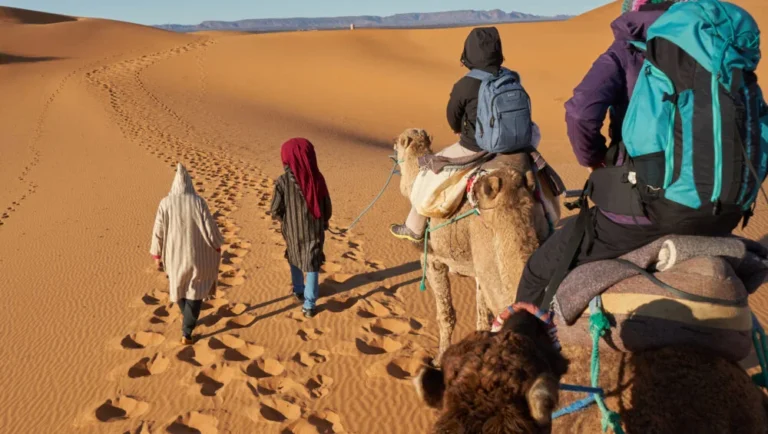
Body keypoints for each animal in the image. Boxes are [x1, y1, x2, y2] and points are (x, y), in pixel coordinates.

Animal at [394, 128, 559, 364]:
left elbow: (445, 314)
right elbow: (482, 320)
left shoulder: (433, 260)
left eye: (397, 143)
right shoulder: (479, 271)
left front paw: (438, 359)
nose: (392, 148)